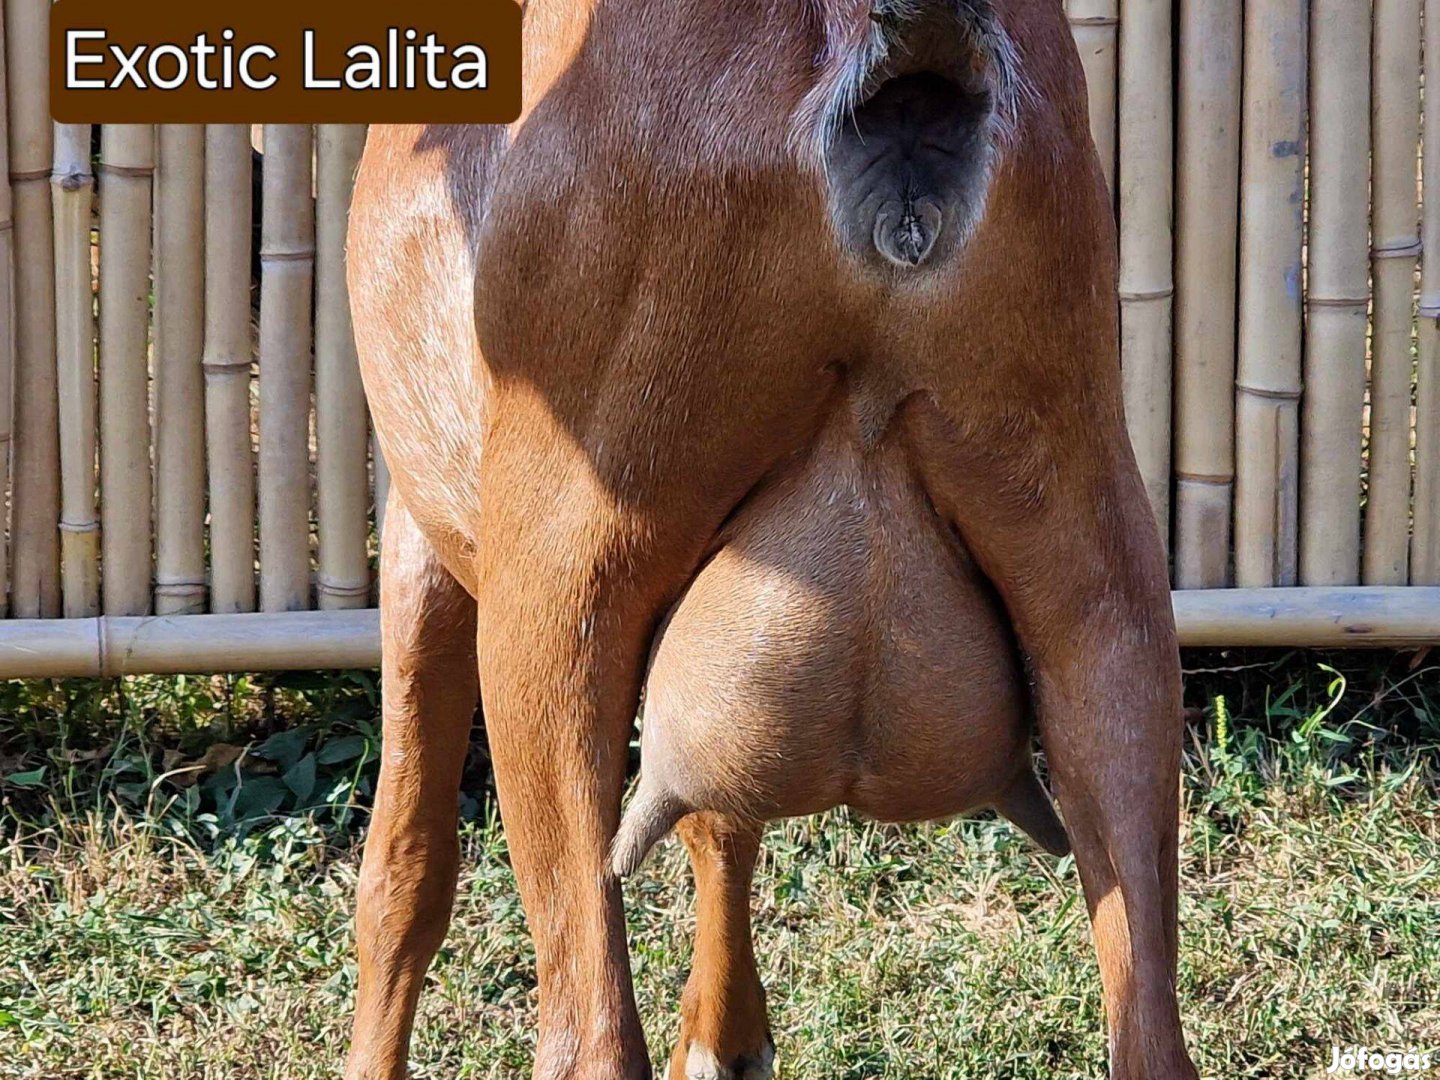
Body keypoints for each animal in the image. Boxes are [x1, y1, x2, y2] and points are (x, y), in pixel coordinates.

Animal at [345, 0, 1192, 1077]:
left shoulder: (423, 535)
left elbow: (406, 867)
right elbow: (720, 811)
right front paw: (726, 1036)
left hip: (558, 589)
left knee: (588, 1027)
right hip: (1089, 551)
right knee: (1149, 1020)